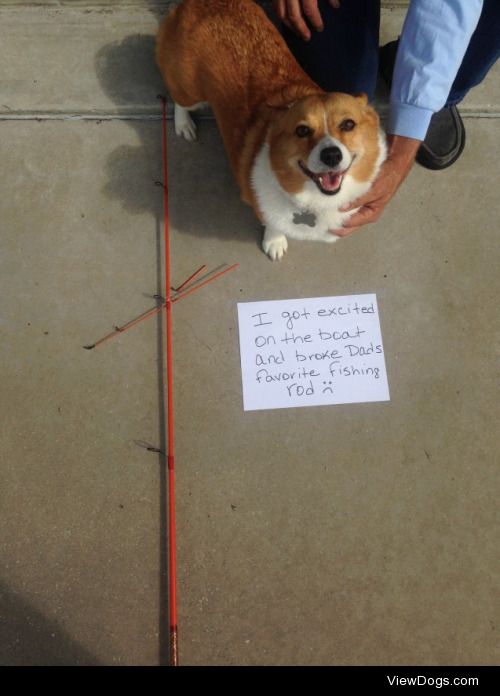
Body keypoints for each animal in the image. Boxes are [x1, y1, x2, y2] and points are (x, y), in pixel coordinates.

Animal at [156, 0, 386, 260]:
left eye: (348, 124)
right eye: (302, 130)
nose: (331, 155)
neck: (315, 200)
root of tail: (200, 2)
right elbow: (273, 223)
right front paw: (274, 242)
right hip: (189, 88)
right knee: (179, 99)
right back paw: (183, 124)